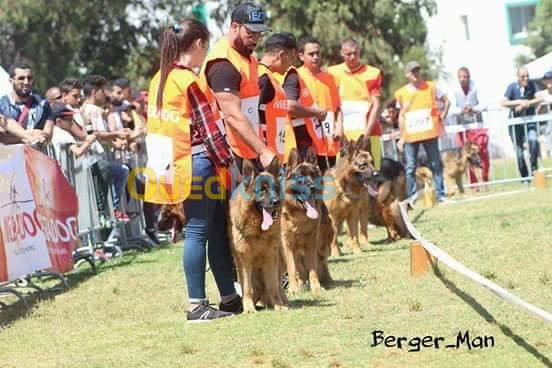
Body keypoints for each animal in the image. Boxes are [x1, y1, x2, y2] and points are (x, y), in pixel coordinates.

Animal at [227, 158, 288, 314]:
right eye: (263, 190)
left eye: (275, 188)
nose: (276, 202)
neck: (259, 231)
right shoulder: (244, 262)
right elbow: (247, 289)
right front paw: (248, 308)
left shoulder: (271, 259)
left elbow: (274, 286)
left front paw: (279, 305)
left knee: (277, 286)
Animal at [280, 147, 332, 294]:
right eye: (300, 178)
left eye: (313, 175)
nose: (313, 187)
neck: (299, 216)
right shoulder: (287, 246)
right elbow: (292, 269)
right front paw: (293, 289)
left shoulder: (311, 245)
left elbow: (313, 269)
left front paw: (316, 287)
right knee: (299, 268)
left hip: (322, 245)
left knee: (322, 262)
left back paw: (327, 280)